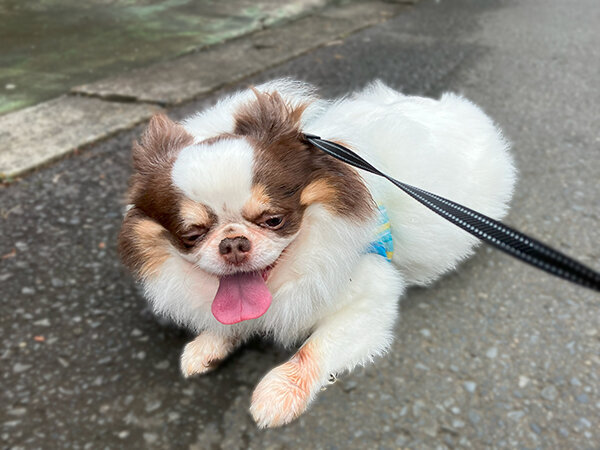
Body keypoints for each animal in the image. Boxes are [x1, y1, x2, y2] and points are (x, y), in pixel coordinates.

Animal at [118, 79, 516, 428]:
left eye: (273, 219)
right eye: (192, 234)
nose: (233, 243)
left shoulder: (369, 298)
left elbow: (312, 350)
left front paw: (278, 394)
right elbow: (229, 321)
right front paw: (211, 343)